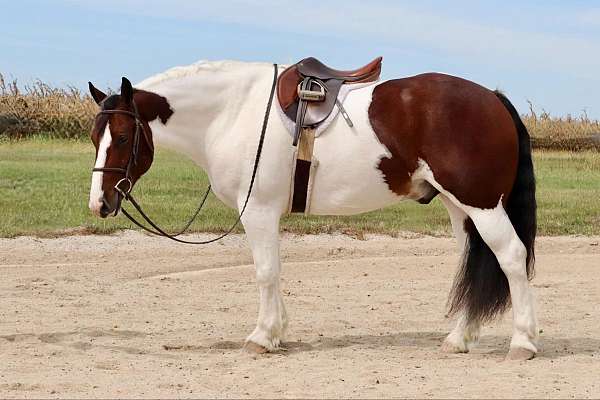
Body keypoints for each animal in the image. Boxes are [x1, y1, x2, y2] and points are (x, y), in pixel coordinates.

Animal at [88, 58, 540, 360]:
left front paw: (261, 336)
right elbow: (275, 271)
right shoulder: (266, 214)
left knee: (511, 257)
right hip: (460, 208)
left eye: (124, 137)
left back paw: (523, 341)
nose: (100, 203)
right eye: (95, 136)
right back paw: (459, 338)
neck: (233, 111)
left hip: (481, 205)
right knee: (474, 262)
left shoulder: (257, 211)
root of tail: (492, 99)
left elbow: (265, 271)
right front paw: (278, 331)